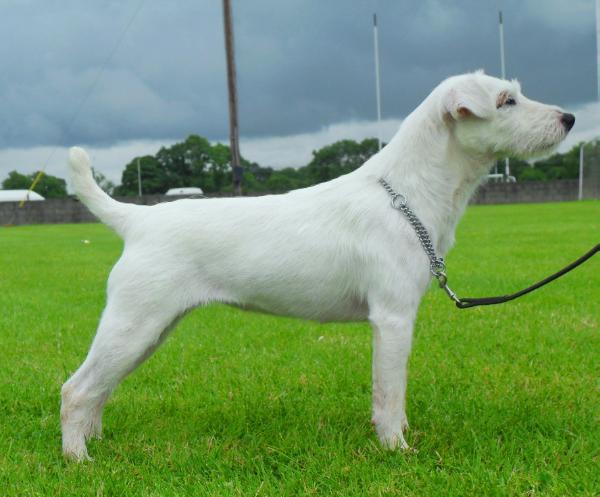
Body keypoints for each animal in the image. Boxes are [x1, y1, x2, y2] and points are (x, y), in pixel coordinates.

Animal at [61, 69, 572, 458]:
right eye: (506, 101)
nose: (568, 118)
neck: (408, 191)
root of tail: (137, 220)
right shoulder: (392, 319)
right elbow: (390, 393)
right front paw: (397, 449)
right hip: (135, 324)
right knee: (76, 390)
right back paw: (79, 460)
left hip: (149, 331)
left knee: (100, 390)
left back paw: (94, 442)